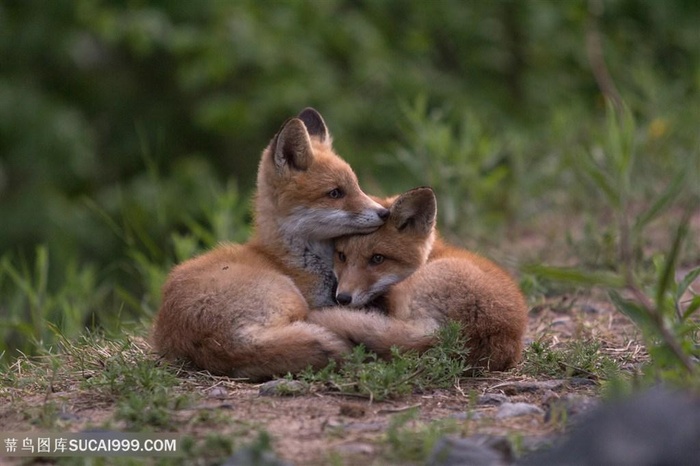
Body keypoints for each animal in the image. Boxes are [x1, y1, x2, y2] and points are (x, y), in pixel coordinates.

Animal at [154, 110, 392, 382]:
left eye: (357, 186)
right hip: (292, 299)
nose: (385, 213)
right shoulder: (314, 302)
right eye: (335, 193)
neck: (292, 259)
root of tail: (222, 344)